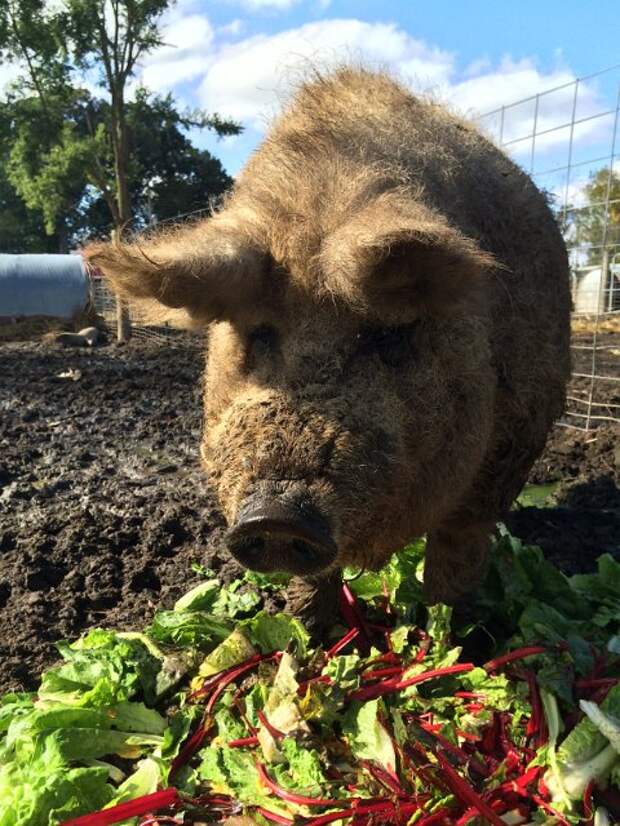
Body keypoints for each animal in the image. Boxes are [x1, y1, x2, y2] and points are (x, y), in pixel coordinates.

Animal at [87, 67, 572, 608]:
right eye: (257, 334)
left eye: (385, 336)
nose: (276, 515)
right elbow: (314, 580)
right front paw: (311, 627)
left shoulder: (513, 443)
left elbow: (456, 551)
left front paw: (451, 625)